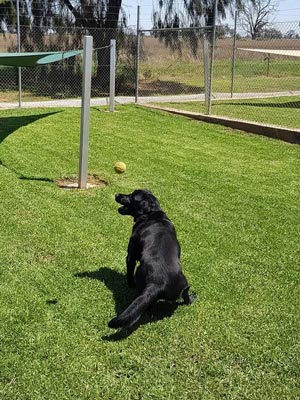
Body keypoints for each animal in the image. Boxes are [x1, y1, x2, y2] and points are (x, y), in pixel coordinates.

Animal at [108, 189, 195, 330]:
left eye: (132, 196)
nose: (116, 195)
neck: (151, 215)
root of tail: (158, 283)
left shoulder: (130, 255)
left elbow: (129, 272)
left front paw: (129, 284)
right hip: (184, 285)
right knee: (185, 297)